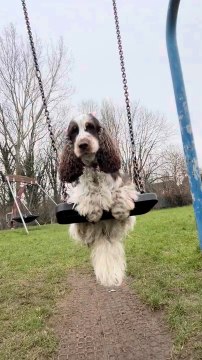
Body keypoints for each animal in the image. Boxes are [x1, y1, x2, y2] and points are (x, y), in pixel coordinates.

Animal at [58, 112, 137, 286]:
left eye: (90, 127)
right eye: (74, 131)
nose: (83, 144)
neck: (94, 167)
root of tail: (103, 232)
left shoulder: (123, 181)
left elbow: (120, 191)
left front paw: (120, 209)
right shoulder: (77, 191)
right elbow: (87, 193)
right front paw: (93, 209)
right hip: (79, 227)